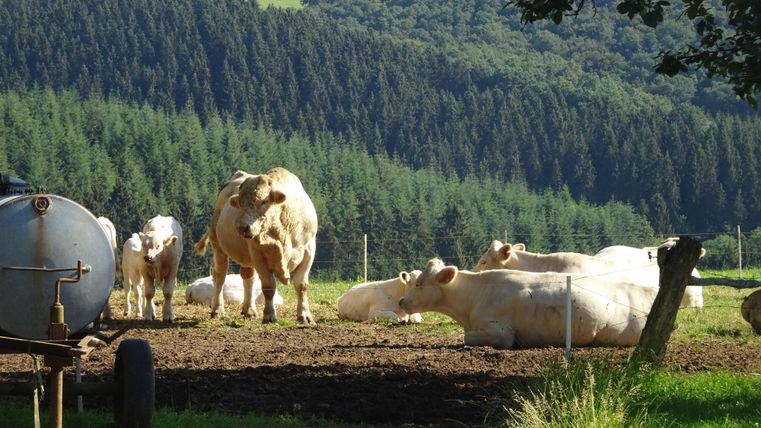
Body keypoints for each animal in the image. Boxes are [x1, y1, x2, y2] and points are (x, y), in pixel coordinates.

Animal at [195, 167, 318, 324]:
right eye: (240, 203)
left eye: (264, 201)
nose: (242, 227)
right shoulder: (258, 254)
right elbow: (268, 287)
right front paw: (269, 315)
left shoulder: (308, 251)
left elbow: (301, 285)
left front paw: (305, 315)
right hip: (217, 244)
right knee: (220, 275)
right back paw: (218, 309)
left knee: (248, 277)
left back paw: (249, 310)